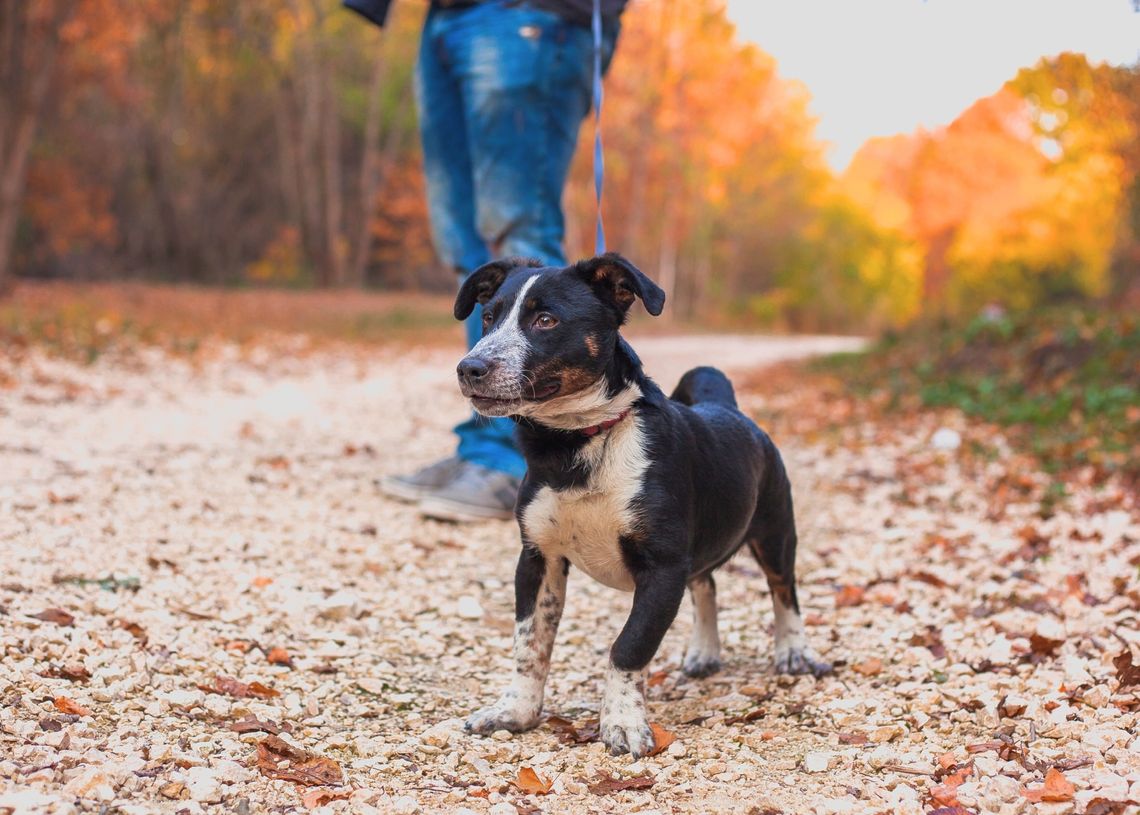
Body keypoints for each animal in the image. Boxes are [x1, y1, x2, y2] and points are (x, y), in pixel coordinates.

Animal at [449, 250, 834, 756]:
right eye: (488, 318)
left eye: (546, 320)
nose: (469, 368)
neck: (580, 444)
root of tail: (728, 407)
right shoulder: (537, 558)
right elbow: (530, 644)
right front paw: (516, 712)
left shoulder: (662, 567)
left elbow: (628, 646)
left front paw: (623, 723)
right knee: (706, 584)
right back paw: (704, 652)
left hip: (775, 531)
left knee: (783, 589)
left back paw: (794, 651)